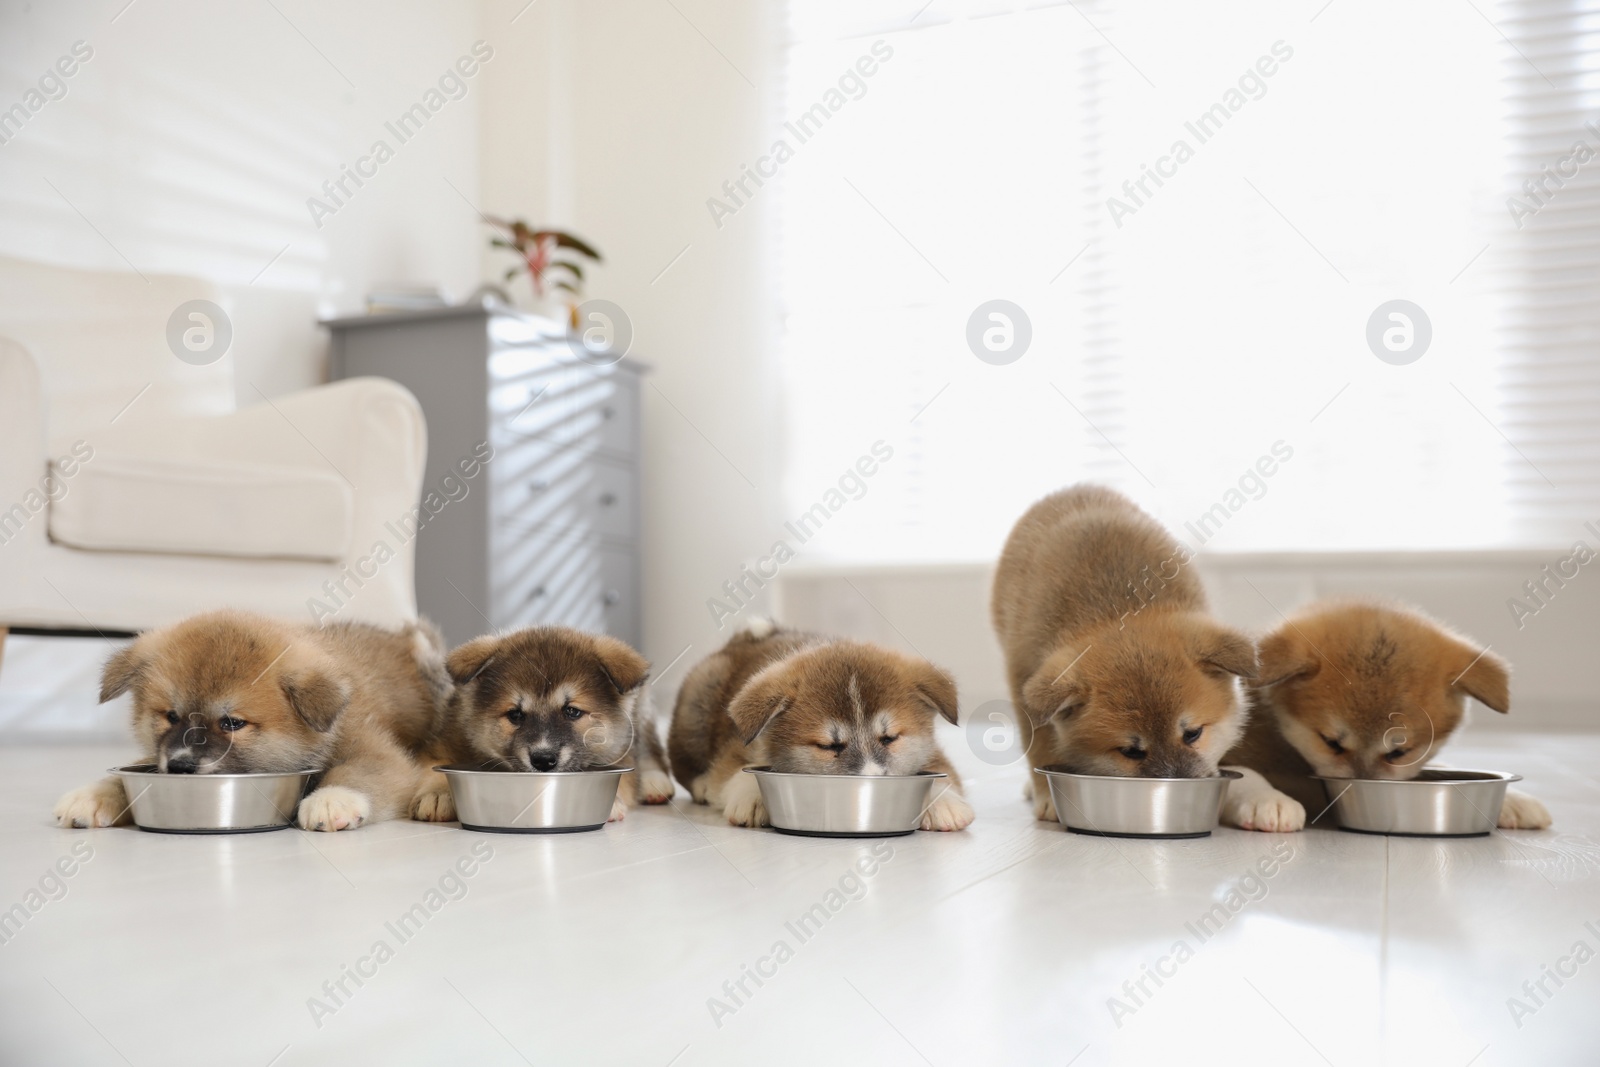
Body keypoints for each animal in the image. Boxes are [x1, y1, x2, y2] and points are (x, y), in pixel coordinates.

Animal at [54, 607, 454, 831]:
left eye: (232, 723)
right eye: (171, 716)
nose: (181, 767)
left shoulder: (379, 753)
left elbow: (358, 773)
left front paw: (331, 800)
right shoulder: (157, 756)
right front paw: (95, 795)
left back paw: (438, 797)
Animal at [665, 617, 972, 831]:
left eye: (889, 738)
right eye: (829, 746)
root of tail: (744, 639)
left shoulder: (932, 752)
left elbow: (943, 773)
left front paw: (944, 803)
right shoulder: (737, 749)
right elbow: (735, 772)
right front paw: (753, 797)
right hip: (698, 704)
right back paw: (700, 785)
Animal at [985, 489, 1260, 825]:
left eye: (1193, 734)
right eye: (1130, 751)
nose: (1181, 788)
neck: (1120, 611)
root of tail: (1072, 490)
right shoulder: (1025, 680)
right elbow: (1040, 745)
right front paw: (1047, 795)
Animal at [1222, 601, 1548, 831]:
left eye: (1399, 753)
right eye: (1331, 743)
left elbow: (1444, 765)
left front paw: (1514, 801)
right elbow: (1243, 773)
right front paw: (1266, 798)